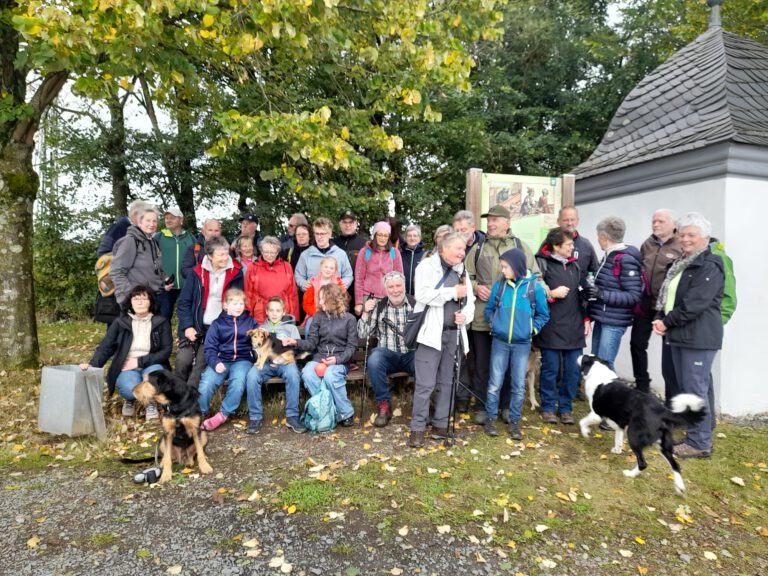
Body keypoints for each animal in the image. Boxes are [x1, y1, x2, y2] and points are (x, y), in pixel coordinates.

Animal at [580, 356, 704, 496]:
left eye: (584, 358)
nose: (580, 356)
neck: (598, 370)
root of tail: (662, 411)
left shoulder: (596, 414)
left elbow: (582, 422)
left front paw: (585, 433)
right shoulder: (619, 424)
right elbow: (618, 439)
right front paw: (617, 450)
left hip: (634, 437)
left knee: (643, 463)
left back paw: (630, 474)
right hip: (663, 445)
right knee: (675, 465)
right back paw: (680, 487)